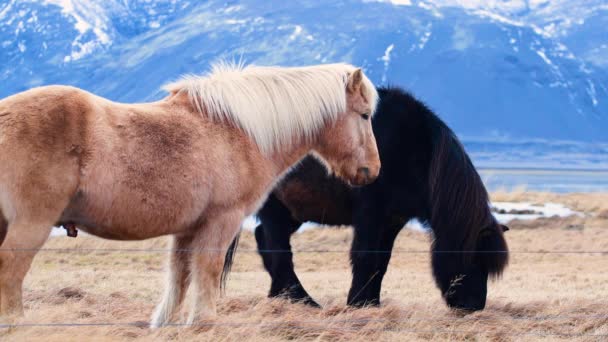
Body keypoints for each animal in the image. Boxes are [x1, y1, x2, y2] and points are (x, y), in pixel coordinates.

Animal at [0, 62, 380, 328]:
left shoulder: (186, 229)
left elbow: (179, 277)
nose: (372, 170)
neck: (236, 131)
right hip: (32, 224)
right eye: (364, 115)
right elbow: (207, 270)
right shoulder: (222, 221)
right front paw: (204, 321)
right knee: (11, 270)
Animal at [223, 86, 508, 312]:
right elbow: (365, 256)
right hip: (274, 207)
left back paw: (282, 296)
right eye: (476, 259)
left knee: (264, 239)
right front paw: (358, 303)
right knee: (277, 247)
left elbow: (382, 261)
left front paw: (372, 303)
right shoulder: (371, 213)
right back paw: (301, 299)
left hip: (292, 211)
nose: (474, 306)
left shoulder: (393, 220)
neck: (414, 149)